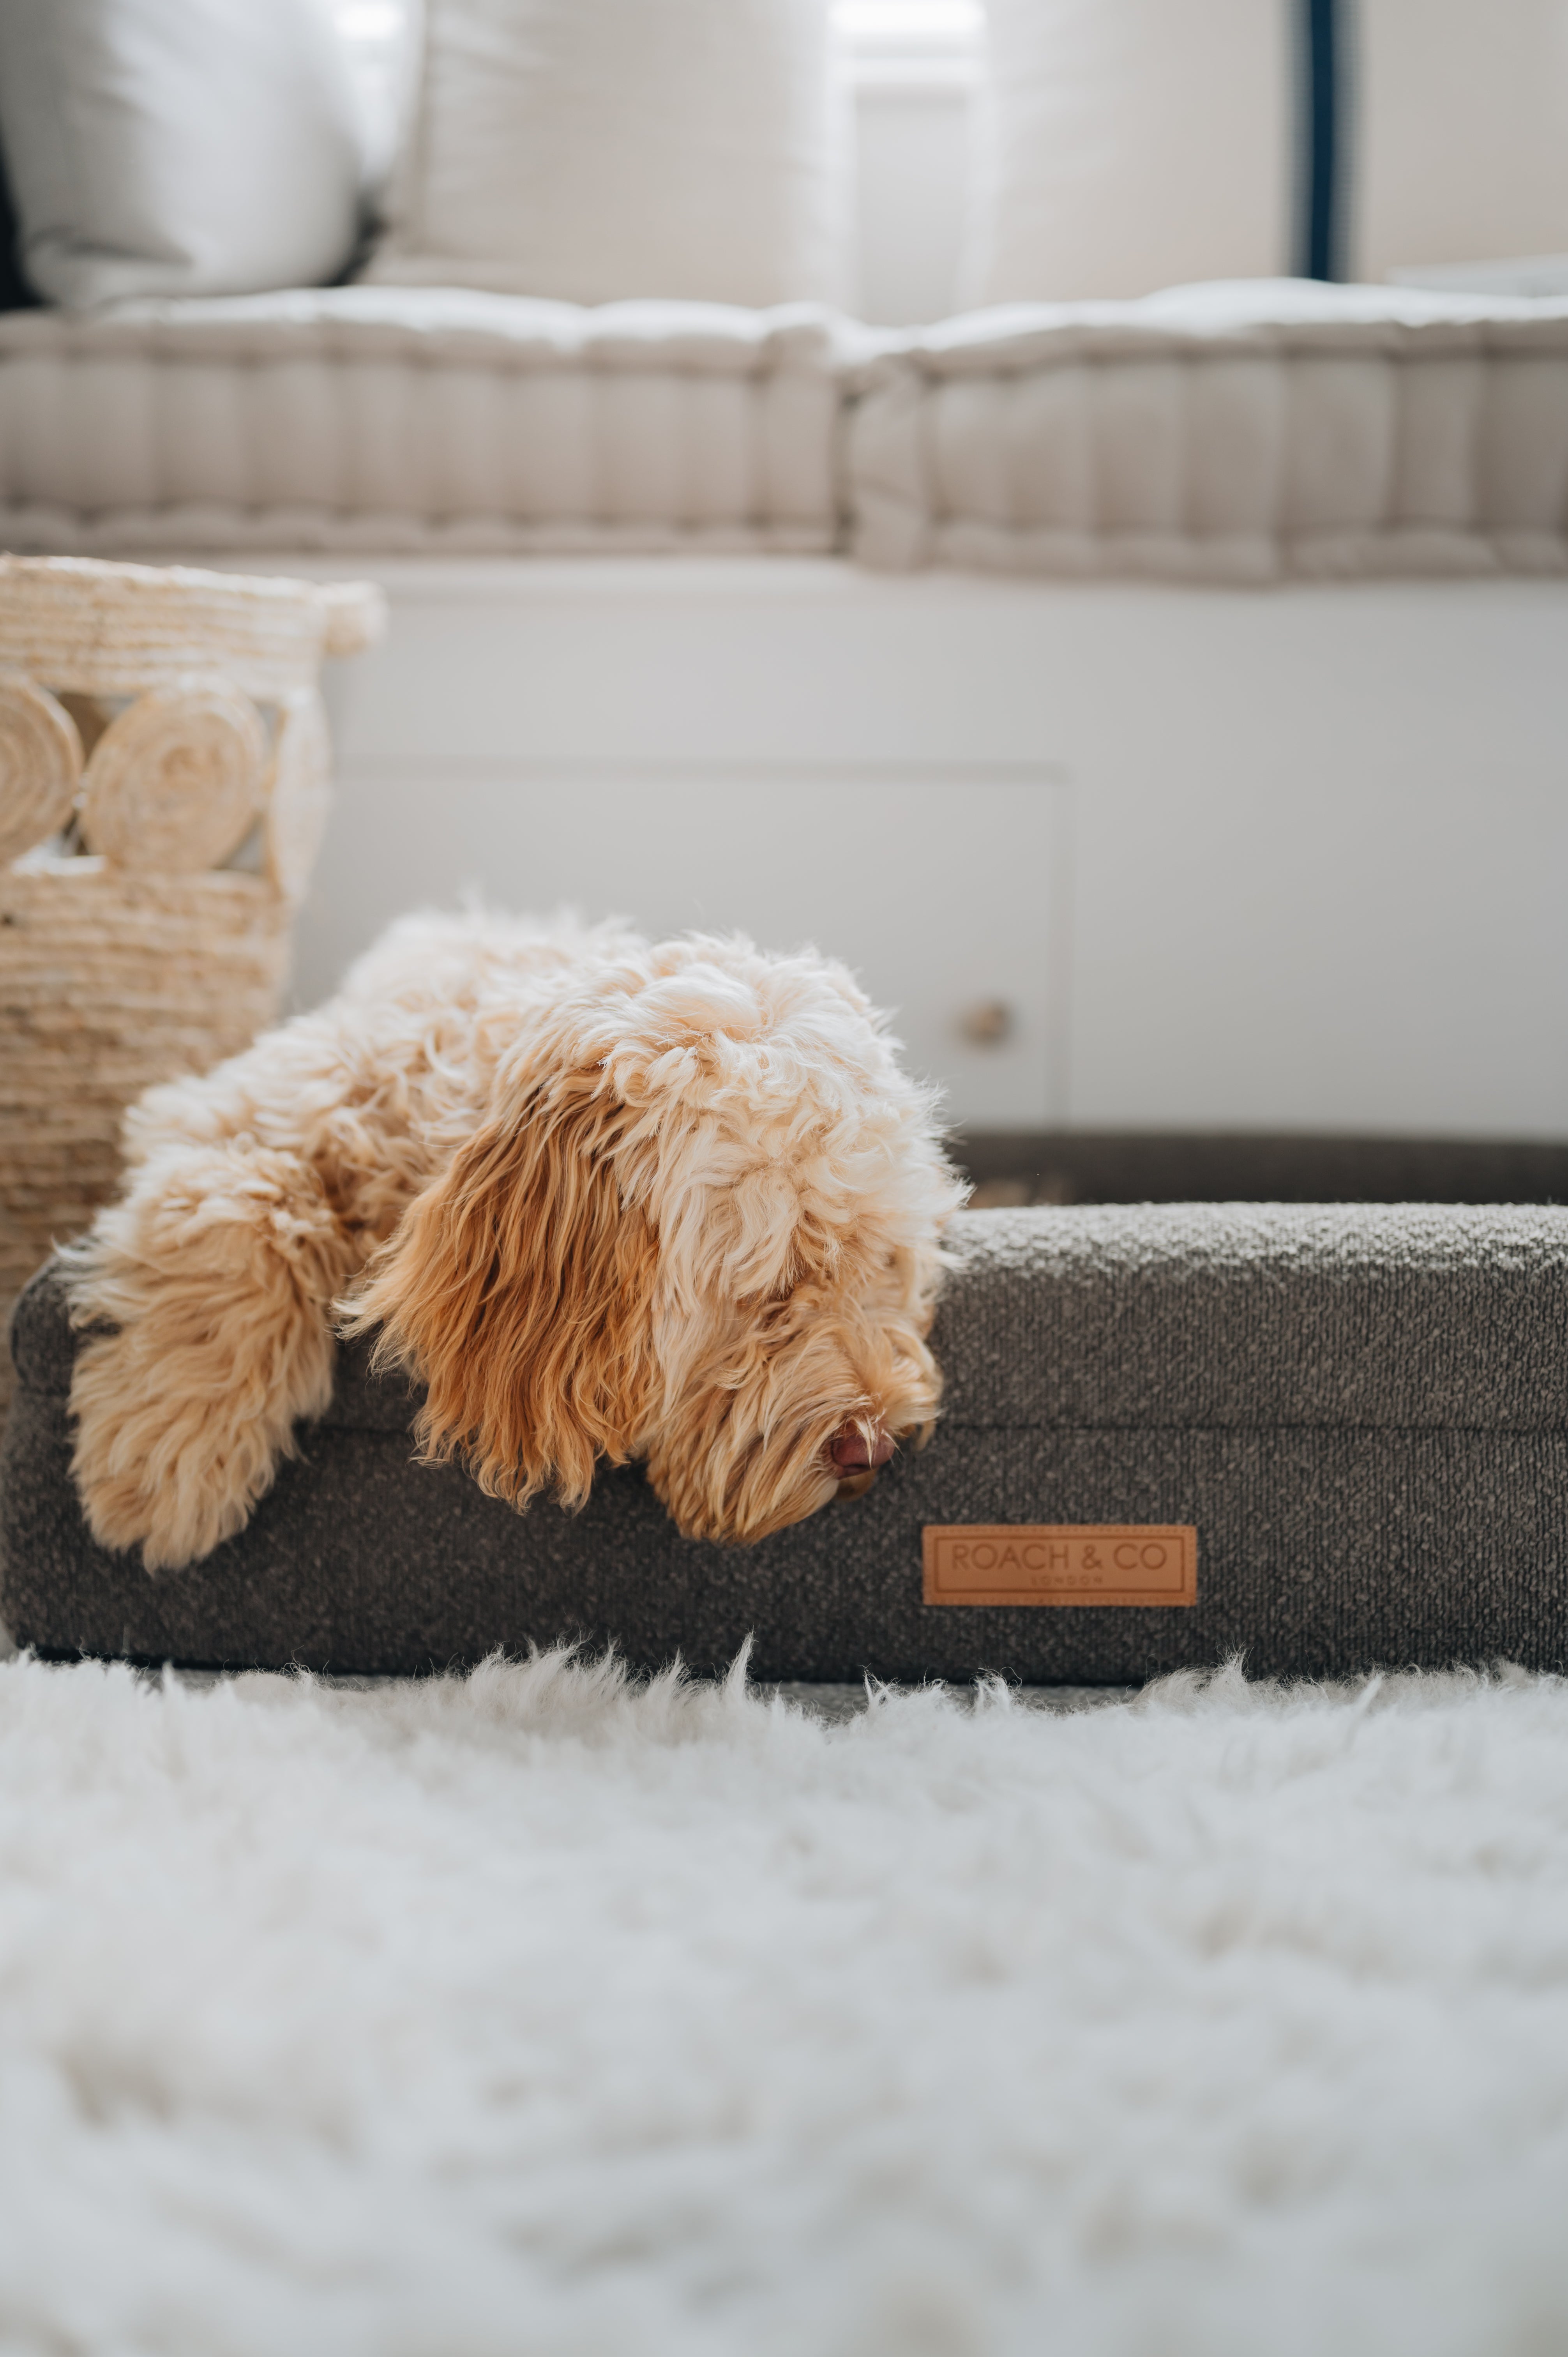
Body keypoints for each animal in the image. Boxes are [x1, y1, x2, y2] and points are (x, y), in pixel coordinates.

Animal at [61, 910, 962, 1574]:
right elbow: (239, 1209)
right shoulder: (219, 1113)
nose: (871, 1444)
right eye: (769, 1288)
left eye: (882, 1264)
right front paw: (166, 1469)